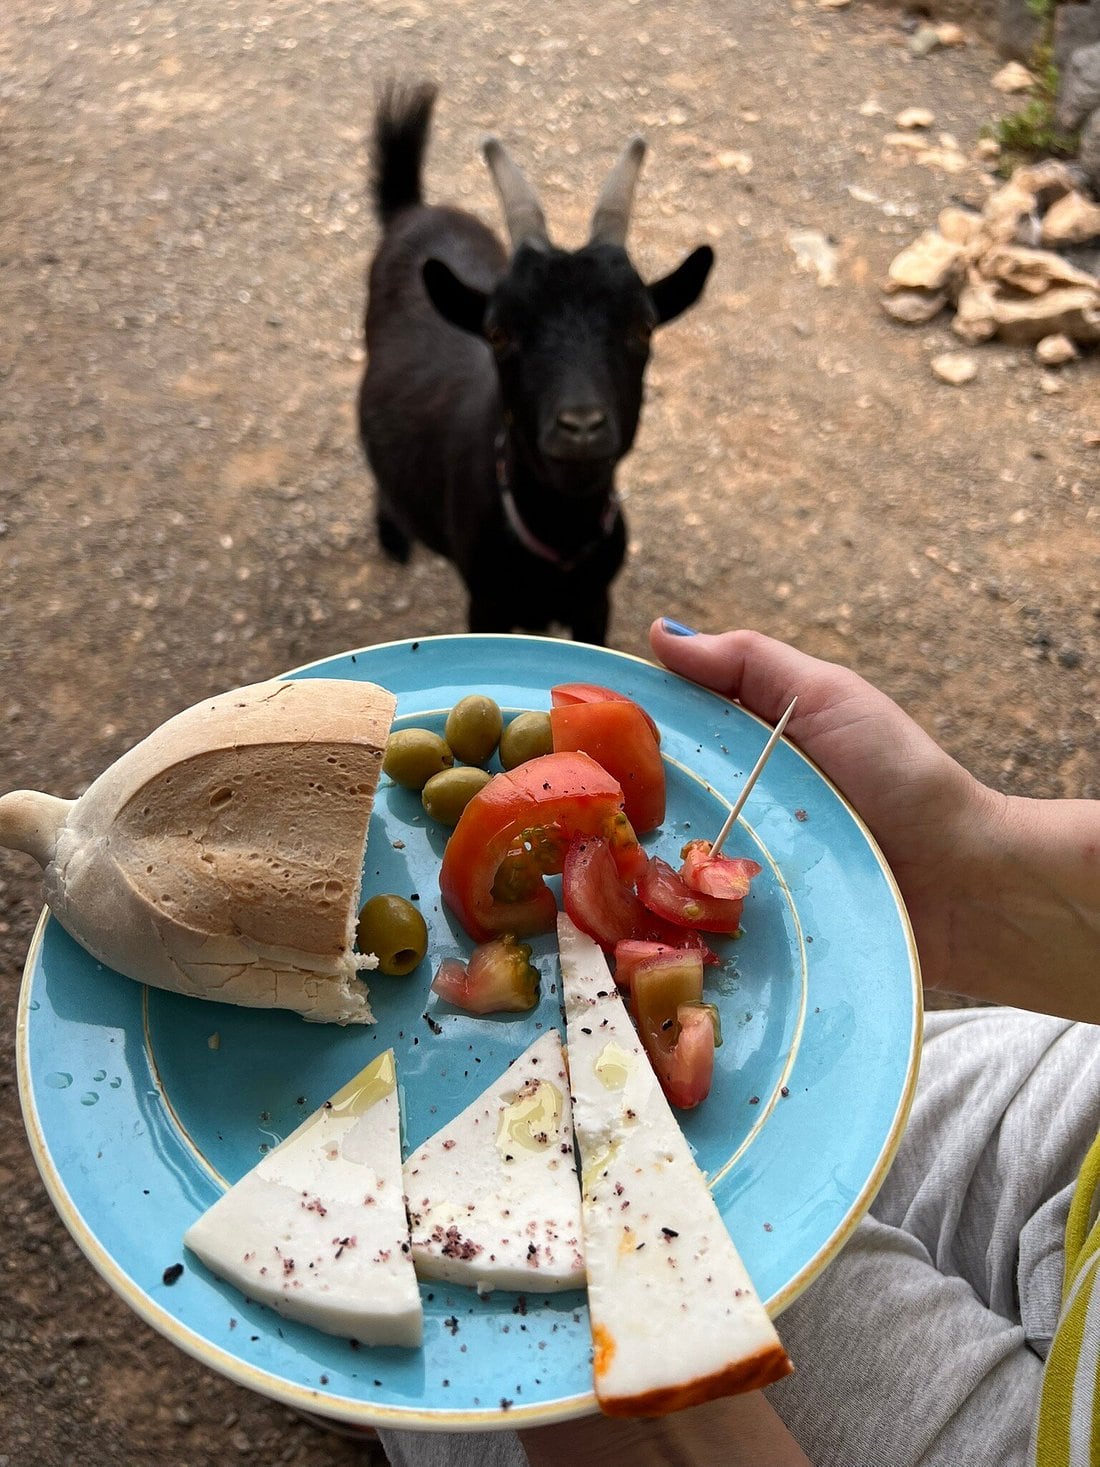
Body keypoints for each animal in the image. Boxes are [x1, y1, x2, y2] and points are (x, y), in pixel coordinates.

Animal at [353, 83, 715, 645]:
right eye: (498, 334)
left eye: (643, 328)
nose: (581, 427)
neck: (558, 535)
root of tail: (412, 209)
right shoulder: (487, 605)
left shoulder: (595, 603)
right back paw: (393, 535)